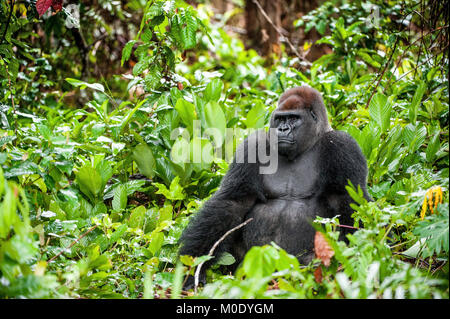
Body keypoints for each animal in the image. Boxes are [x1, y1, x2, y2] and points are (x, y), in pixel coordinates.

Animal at [178, 86, 370, 284]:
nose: (282, 129)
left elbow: (348, 200)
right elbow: (233, 202)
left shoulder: (343, 145)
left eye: (293, 118)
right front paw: (192, 266)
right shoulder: (253, 146)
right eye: (280, 119)